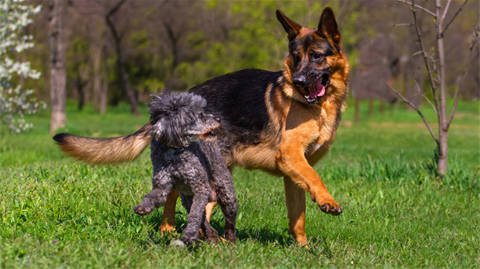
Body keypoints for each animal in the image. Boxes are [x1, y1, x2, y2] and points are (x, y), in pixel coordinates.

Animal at [53, 91, 237, 244]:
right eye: (200, 115)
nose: (218, 119)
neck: (174, 152)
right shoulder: (162, 186)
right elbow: (153, 196)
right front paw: (143, 208)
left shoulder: (200, 188)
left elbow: (195, 215)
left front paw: (189, 235)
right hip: (187, 197)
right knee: (204, 220)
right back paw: (212, 236)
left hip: (226, 193)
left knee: (228, 220)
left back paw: (230, 240)